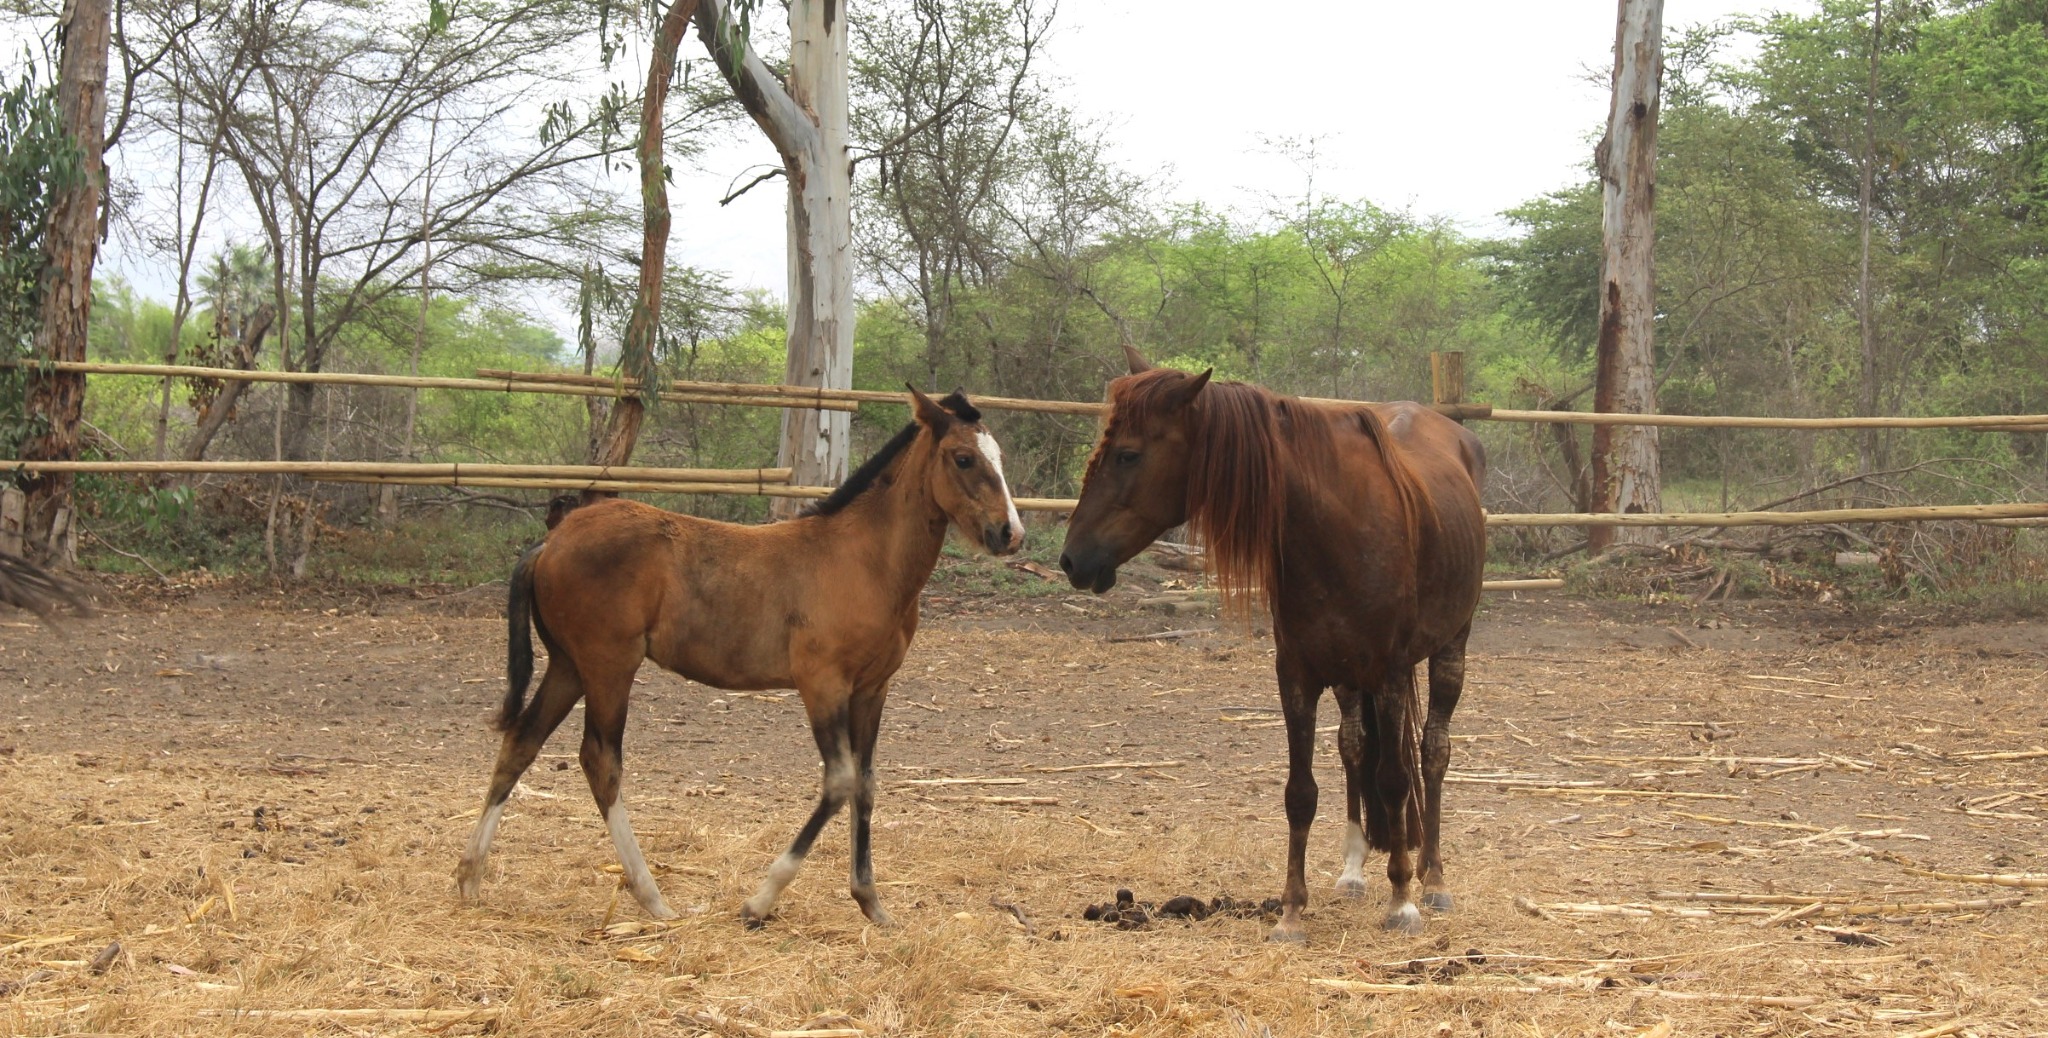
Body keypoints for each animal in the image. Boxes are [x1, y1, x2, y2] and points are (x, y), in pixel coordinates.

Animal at [456, 388, 1025, 927]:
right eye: (963, 458)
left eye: (1000, 456)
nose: (1010, 534)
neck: (862, 560)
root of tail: (551, 542)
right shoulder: (822, 682)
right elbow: (840, 781)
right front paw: (759, 902)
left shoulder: (872, 687)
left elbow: (865, 784)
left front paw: (871, 903)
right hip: (608, 666)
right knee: (600, 761)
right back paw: (653, 898)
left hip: (569, 666)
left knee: (522, 741)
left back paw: (470, 877)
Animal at [1059, 347, 1486, 942]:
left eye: (1127, 454)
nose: (1072, 559)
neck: (1340, 525)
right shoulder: (1297, 675)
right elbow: (1300, 793)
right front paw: (1290, 911)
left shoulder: (1391, 672)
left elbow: (1396, 781)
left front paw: (1402, 902)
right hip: (1349, 678)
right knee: (1354, 747)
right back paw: (1354, 870)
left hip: (1449, 649)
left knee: (1432, 754)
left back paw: (1433, 879)